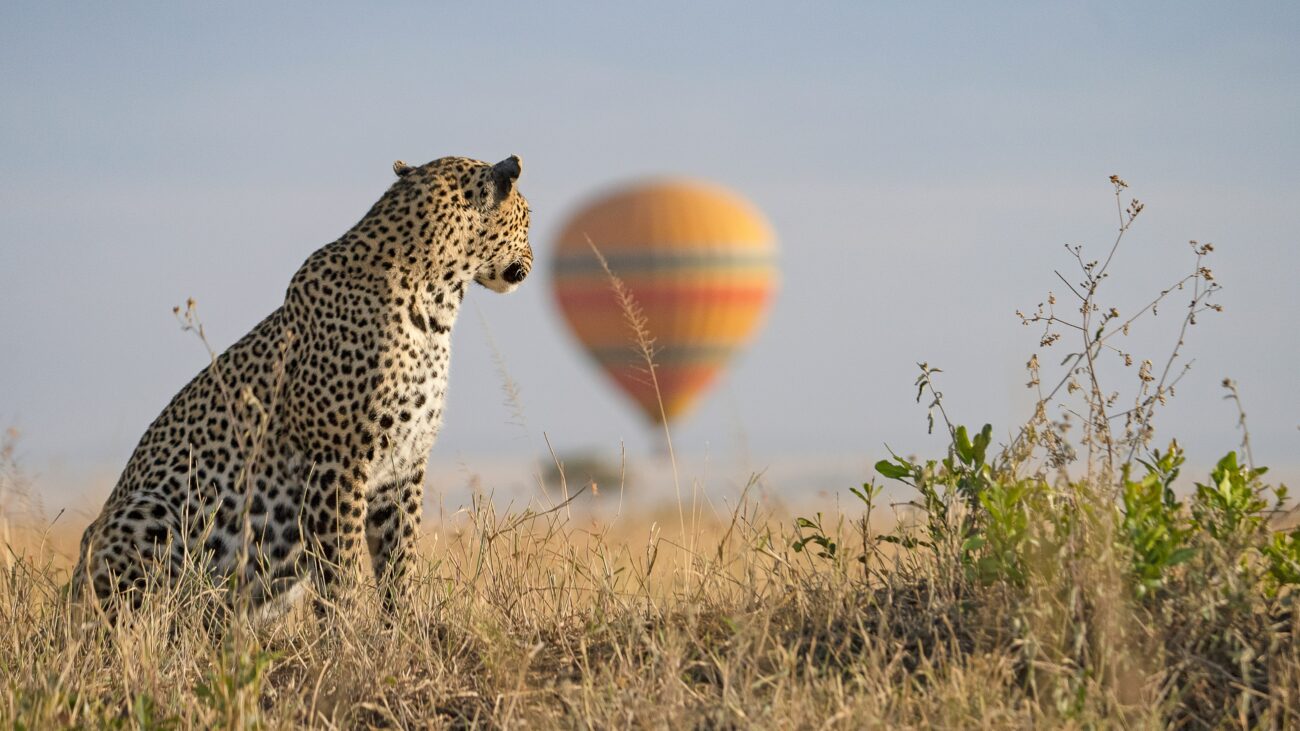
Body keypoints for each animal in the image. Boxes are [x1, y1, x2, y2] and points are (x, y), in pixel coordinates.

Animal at [72, 154, 533, 619]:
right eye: (528, 217)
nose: (531, 257)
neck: (437, 303)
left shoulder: (403, 468)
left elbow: (398, 561)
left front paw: (403, 625)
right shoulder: (336, 464)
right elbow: (341, 567)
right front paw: (347, 630)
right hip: (149, 514)